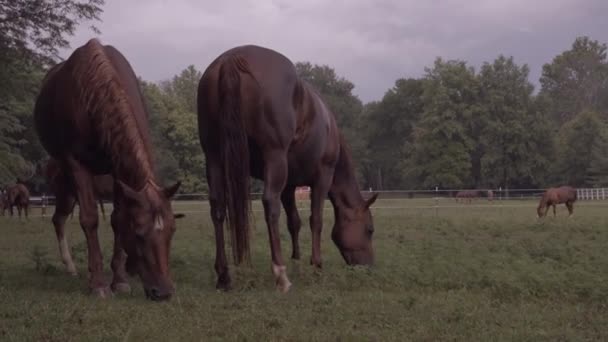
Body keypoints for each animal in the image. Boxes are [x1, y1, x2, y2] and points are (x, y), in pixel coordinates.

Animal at [34, 38, 180, 300]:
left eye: (172, 231)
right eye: (139, 234)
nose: (163, 292)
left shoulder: (117, 170)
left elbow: (118, 218)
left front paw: (120, 280)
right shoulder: (76, 162)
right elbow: (90, 219)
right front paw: (99, 284)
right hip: (66, 188)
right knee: (59, 219)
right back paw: (70, 266)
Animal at [197, 44, 378, 292]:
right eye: (369, 230)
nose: (369, 268)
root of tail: (231, 59)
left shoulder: (289, 186)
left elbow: (294, 222)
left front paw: (297, 262)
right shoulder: (322, 178)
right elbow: (315, 220)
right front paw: (316, 265)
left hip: (214, 157)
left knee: (217, 206)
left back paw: (224, 275)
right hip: (274, 157)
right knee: (269, 204)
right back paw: (280, 275)